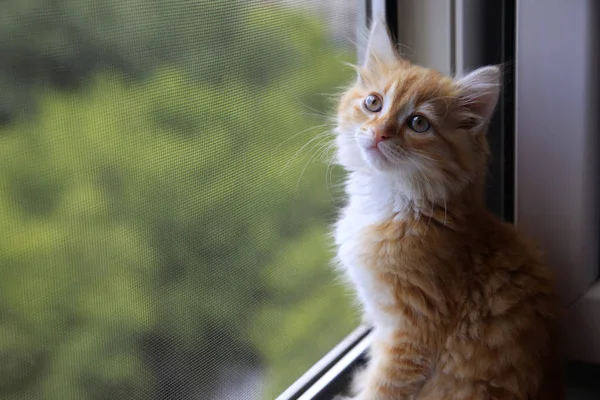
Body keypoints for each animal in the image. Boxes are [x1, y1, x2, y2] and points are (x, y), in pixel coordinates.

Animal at [332, 22, 564, 400]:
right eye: (373, 103)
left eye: (418, 123)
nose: (379, 134)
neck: (395, 202)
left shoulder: (412, 333)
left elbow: (382, 387)